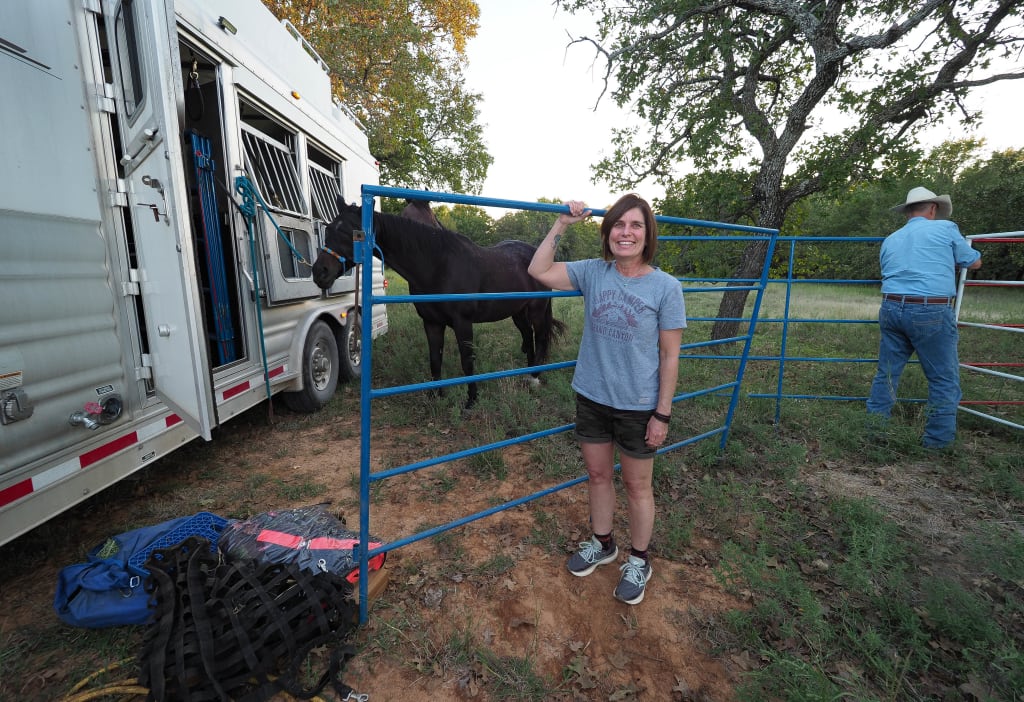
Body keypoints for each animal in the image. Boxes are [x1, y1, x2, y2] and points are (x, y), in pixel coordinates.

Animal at [313, 199, 565, 407]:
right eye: (328, 229)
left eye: (351, 233)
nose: (319, 272)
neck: (438, 265)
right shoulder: (432, 323)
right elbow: (435, 360)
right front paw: (436, 395)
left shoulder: (463, 323)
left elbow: (467, 361)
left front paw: (471, 400)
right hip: (518, 313)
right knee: (529, 338)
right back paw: (530, 372)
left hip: (536, 311)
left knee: (541, 338)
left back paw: (535, 378)